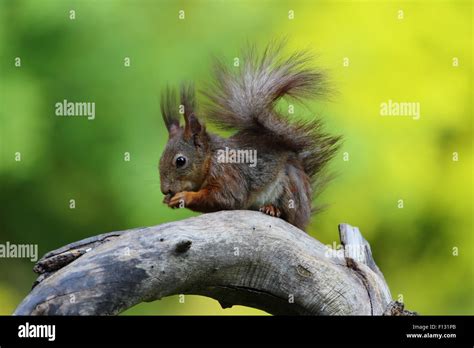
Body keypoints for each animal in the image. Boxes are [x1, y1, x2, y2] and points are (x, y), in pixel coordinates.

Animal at [159, 42, 340, 231]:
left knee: (288, 216)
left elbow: (224, 198)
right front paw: (168, 200)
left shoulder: (229, 175)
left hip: (290, 189)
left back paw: (272, 209)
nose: (165, 190)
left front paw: (184, 197)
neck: (211, 158)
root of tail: (306, 214)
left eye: (180, 161)